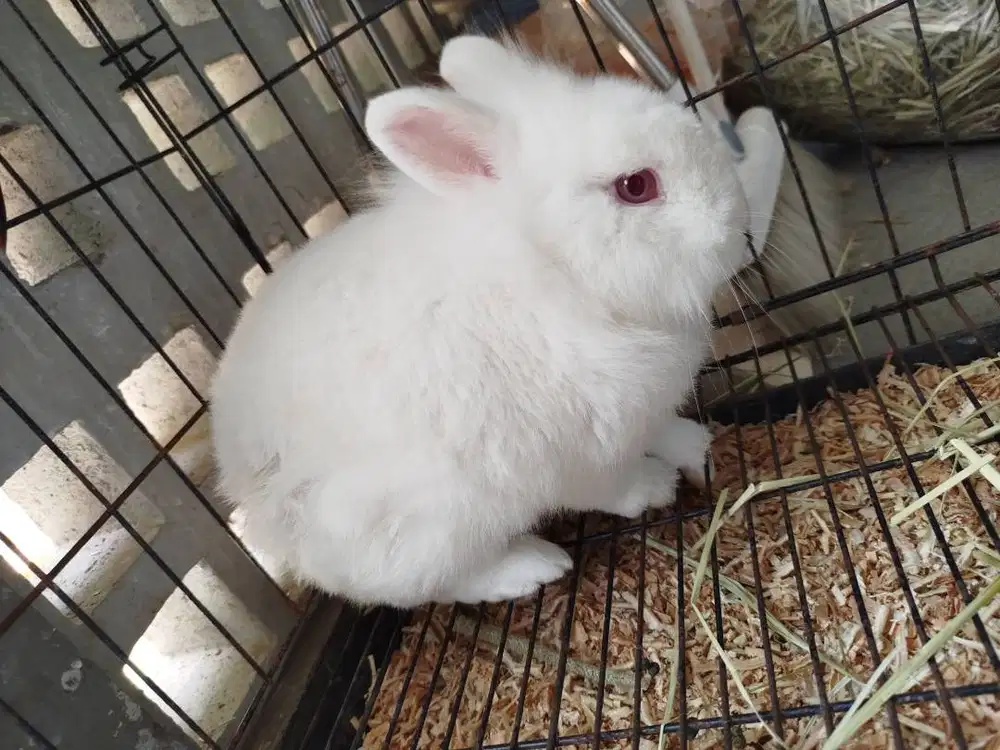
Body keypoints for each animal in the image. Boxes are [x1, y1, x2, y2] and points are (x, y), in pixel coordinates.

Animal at [209, 34, 751, 609]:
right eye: (635, 186)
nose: (741, 233)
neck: (557, 270)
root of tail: (258, 515)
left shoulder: (640, 414)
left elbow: (662, 428)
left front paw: (696, 444)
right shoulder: (572, 457)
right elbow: (611, 488)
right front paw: (656, 487)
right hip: (438, 525)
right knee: (442, 584)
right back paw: (533, 566)